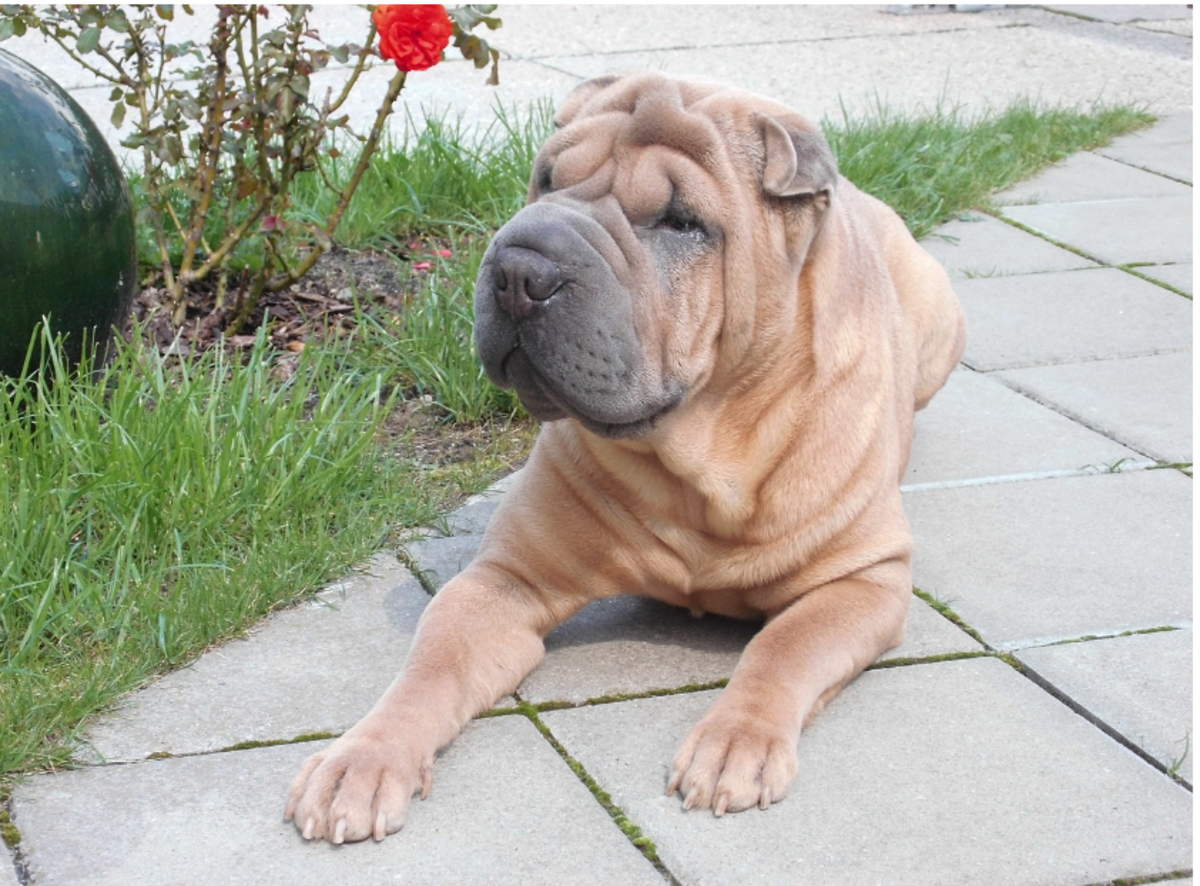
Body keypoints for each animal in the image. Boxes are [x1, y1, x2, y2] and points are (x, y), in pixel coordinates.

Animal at [283, 72, 964, 840]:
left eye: (680, 222)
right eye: (546, 180)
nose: (519, 268)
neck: (698, 457)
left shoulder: (864, 579)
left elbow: (783, 648)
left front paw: (735, 741)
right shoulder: (504, 580)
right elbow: (431, 665)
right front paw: (361, 760)